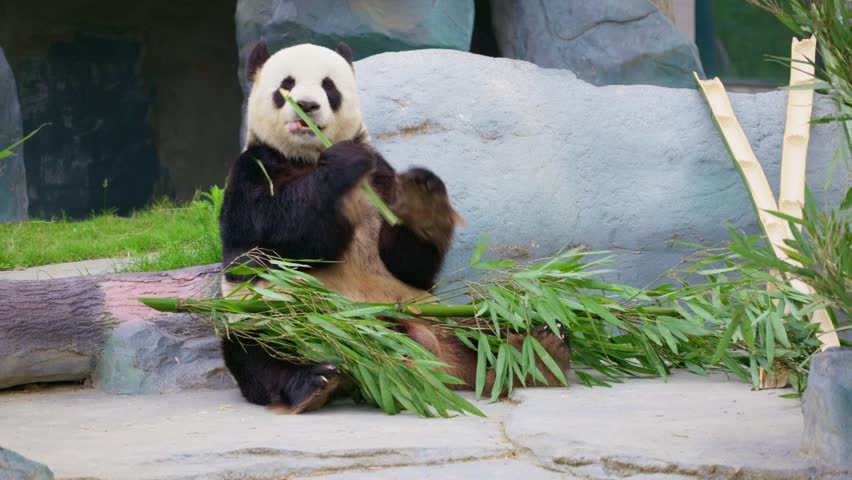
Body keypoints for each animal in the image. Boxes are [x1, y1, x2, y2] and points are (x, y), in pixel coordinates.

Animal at [219, 41, 572, 413]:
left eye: (329, 87)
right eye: (286, 85)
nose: (307, 105)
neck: (307, 157)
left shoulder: (381, 179)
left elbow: (409, 265)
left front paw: (422, 202)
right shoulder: (253, 170)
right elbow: (274, 239)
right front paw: (343, 162)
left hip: (444, 314)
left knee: (489, 329)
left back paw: (542, 350)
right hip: (272, 315)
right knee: (262, 349)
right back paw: (315, 382)